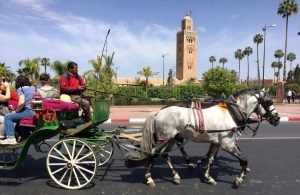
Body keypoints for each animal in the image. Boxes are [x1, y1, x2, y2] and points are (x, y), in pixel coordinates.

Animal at [139, 89, 280, 188]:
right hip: (165, 139)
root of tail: (158, 112)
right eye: (269, 102)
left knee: (164, 154)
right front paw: (239, 179)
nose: (277, 118)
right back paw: (149, 178)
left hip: (171, 139)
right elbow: (244, 160)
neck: (233, 112)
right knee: (154, 153)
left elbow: (211, 160)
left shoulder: (216, 143)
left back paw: (176, 175)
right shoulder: (227, 144)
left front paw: (208, 177)